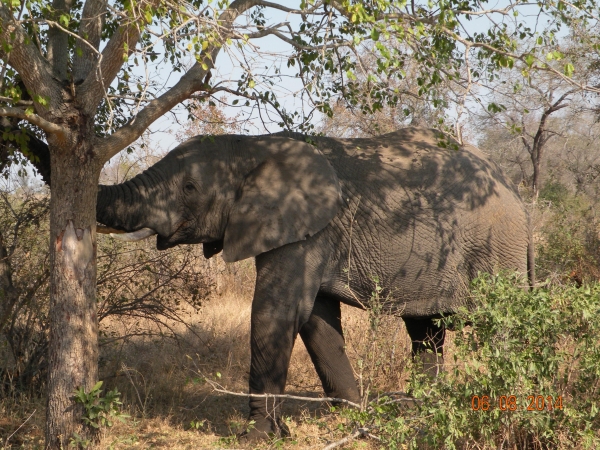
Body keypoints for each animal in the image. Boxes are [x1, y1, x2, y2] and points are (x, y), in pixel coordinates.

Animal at [96, 125, 532, 440]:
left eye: (189, 188)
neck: (255, 145)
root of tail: (515, 193)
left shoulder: (305, 231)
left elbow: (276, 312)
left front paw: (258, 436)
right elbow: (316, 322)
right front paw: (356, 417)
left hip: (497, 249)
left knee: (501, 327)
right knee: (425, 330)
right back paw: (420, 410)